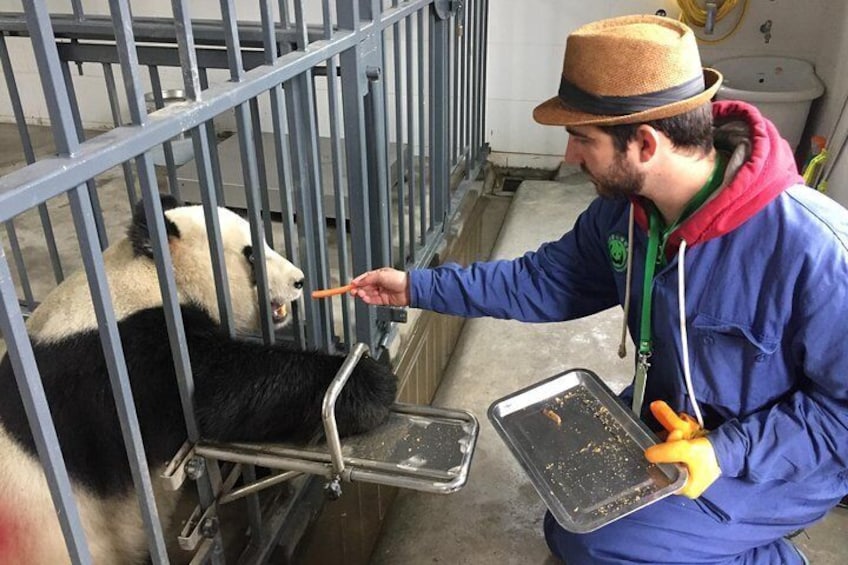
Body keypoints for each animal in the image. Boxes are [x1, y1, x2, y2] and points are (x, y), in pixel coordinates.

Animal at [0, 195, 398, 564]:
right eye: (250, 254)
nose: (298, 280)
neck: (151, 276)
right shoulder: (119, 367)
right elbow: (215, 395)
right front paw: (369, 384)